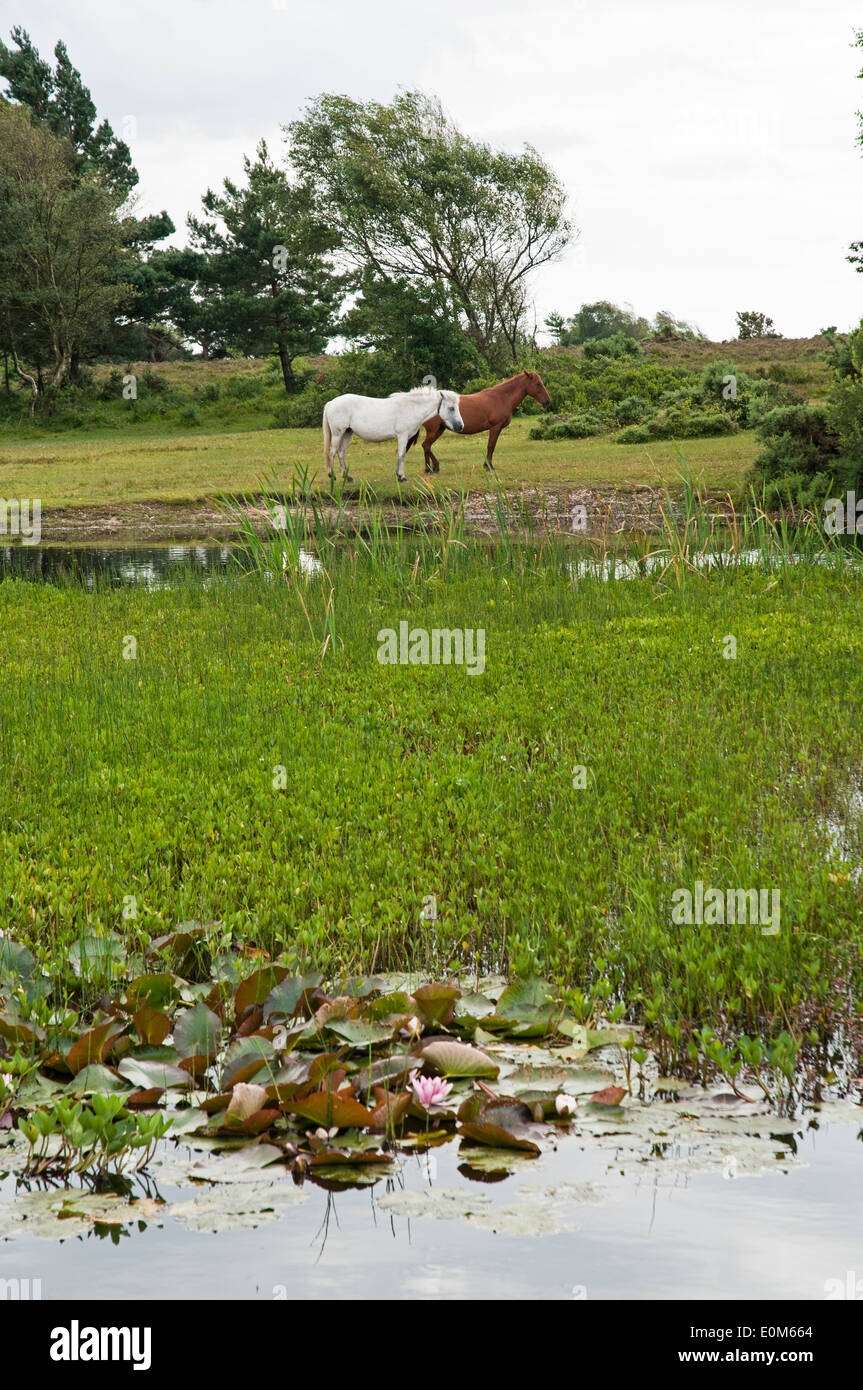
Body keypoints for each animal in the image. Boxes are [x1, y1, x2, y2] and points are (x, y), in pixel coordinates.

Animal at [322, 386, 461, 483]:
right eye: (451, 408)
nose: (460, 426)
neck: (411, 408)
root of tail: (331, 403)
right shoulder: (403, 436)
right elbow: (401, 454)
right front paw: (402, 477)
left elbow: (400, 454)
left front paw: (397, 475)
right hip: (337, 433)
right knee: (332, 452)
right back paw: (332, 476)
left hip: (347, 433)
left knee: (341, 453)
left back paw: (348, 477)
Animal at [405, 369, 553, 478]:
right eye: (538, 384)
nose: (547, 402)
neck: (501, 397)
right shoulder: (495, 427)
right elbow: (491, 446)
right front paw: (489, 467)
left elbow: (491, 447)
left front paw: (487, 465)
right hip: (434, 430)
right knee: (426, 446)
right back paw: (429, 469)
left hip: (439, 429)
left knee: (427, 446)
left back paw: (435, 467)